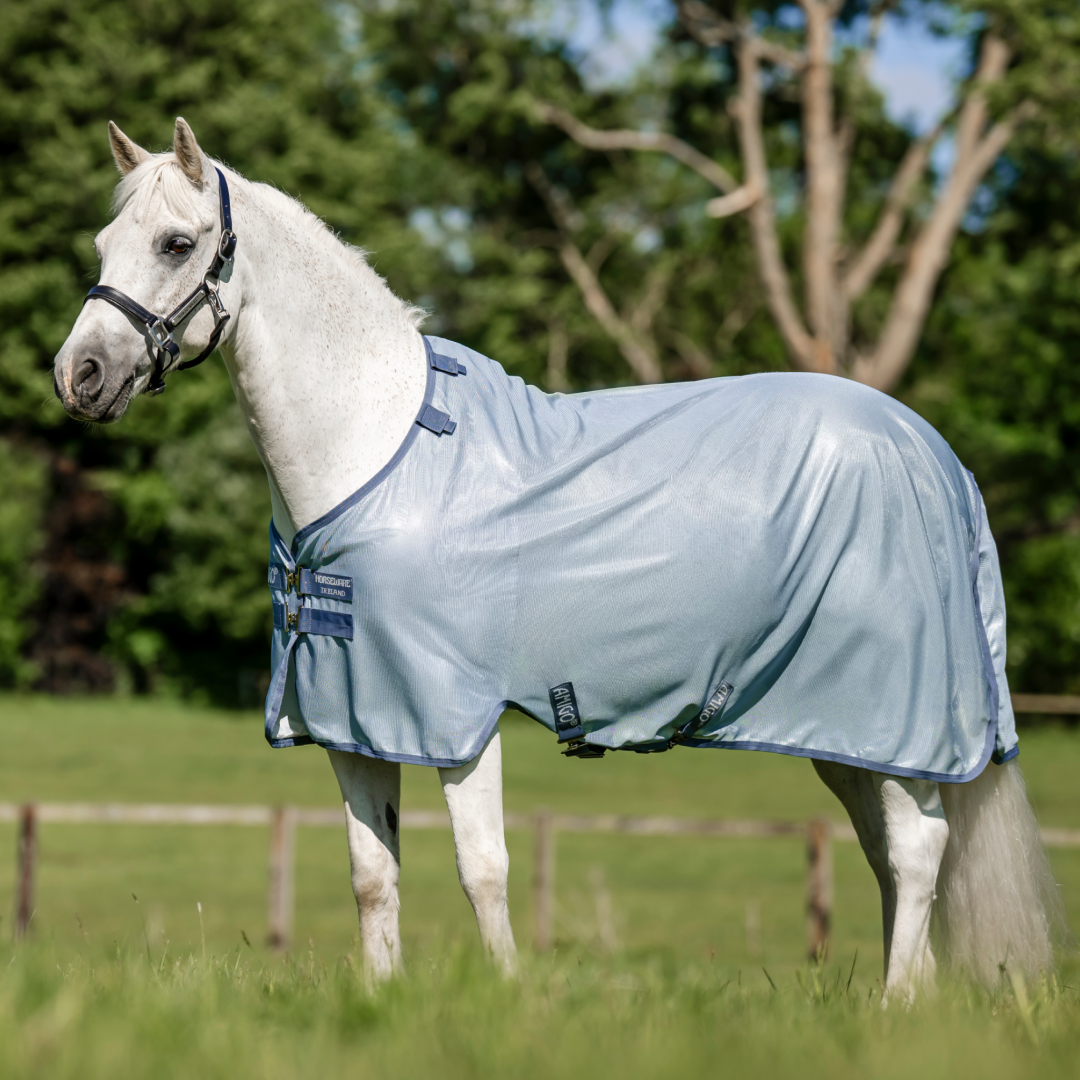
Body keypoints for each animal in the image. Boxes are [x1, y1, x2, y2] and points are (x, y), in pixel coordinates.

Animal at [54, 118, 1064, 1001]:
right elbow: (373, 876)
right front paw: (379, 1003)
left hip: (894, 723)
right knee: (892, 860)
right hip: (842, 734)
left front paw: (508, 1001)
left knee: (918, 855)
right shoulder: (356, 719)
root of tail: (933, 453)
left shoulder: (455, 718)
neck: (377, 452)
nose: (80, 376)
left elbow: (484, 869)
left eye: (178, 243)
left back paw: (895, 1010)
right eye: (104, 242)